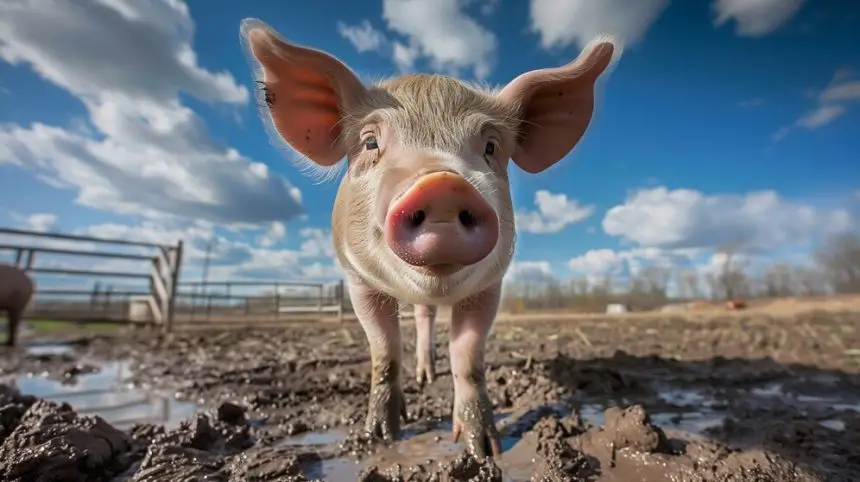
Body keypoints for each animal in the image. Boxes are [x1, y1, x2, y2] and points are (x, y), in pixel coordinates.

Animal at [241, 18, 616, 459]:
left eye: (491, 147)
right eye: (370, 142)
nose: (443, 185)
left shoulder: (490, 286)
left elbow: (468, 359)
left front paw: (483, 449)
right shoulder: (358, 281)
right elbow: (384, 352)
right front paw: (381, 437)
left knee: (426, 318)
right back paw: (421, 379)